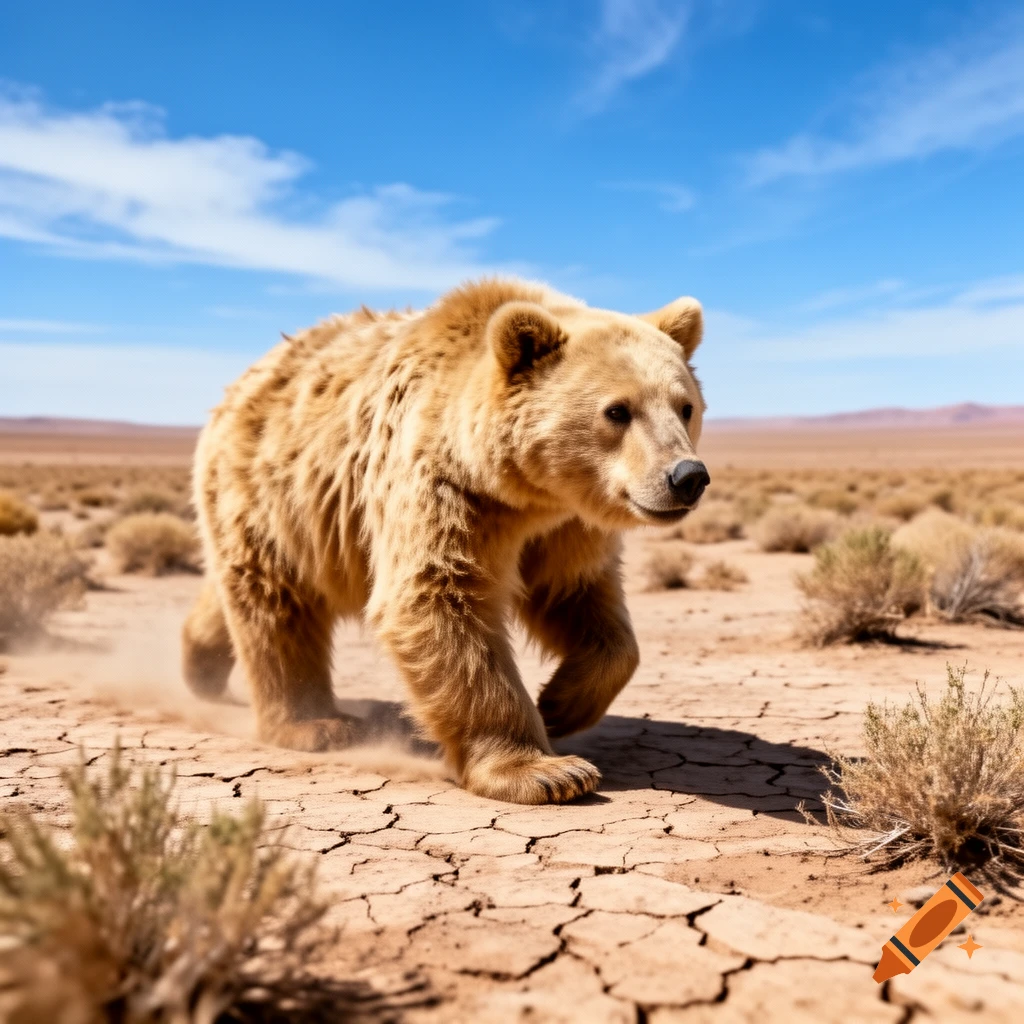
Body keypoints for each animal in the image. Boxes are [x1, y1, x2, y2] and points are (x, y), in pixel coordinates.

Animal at [182, 278, 709, 804]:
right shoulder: (444, 487)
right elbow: (441, 598)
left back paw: (197, 661)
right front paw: (547, 771)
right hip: (268, 494)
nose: (687, 476)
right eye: (617, 410)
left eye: (686, 407)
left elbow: (582, 599)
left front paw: (559, 704)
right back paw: (315, 724)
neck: (528, 492)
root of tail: (239, 386)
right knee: (275, 604)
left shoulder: (566, 527)